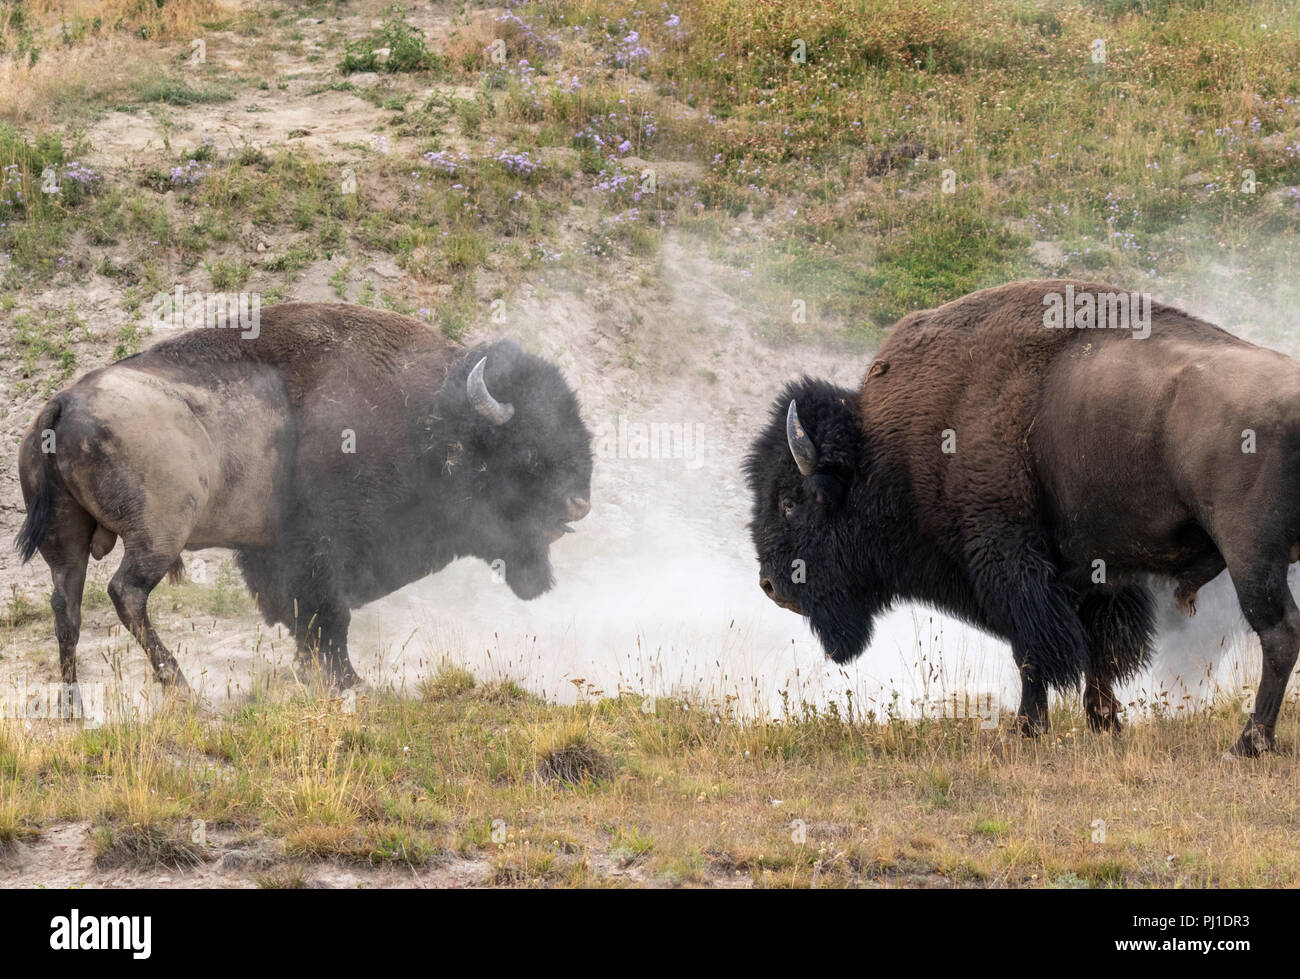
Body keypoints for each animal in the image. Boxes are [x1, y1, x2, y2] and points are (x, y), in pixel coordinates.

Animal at [13, 301, 595, 691]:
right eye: (527, 450)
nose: (579, 504)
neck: (426, 419)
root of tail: (63, 403)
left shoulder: (277, 553)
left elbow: (303, 618)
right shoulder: (321, 549)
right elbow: (327, 615)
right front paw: (349, 681)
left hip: (67, 543)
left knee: (66, 606)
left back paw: (73, 701)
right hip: (156, 536)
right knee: (126, 593)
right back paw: (179, 687)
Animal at [748, 278, 1300, 754]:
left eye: (791, 502)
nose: (770, 586)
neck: (887, 450)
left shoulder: (1011, 561)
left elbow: (1033, 648)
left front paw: (1027, 727)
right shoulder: (1090, 572)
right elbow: (1096, 646)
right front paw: (1103, 721)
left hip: (1251, 556)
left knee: (1278, 634)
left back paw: (1249, 743)